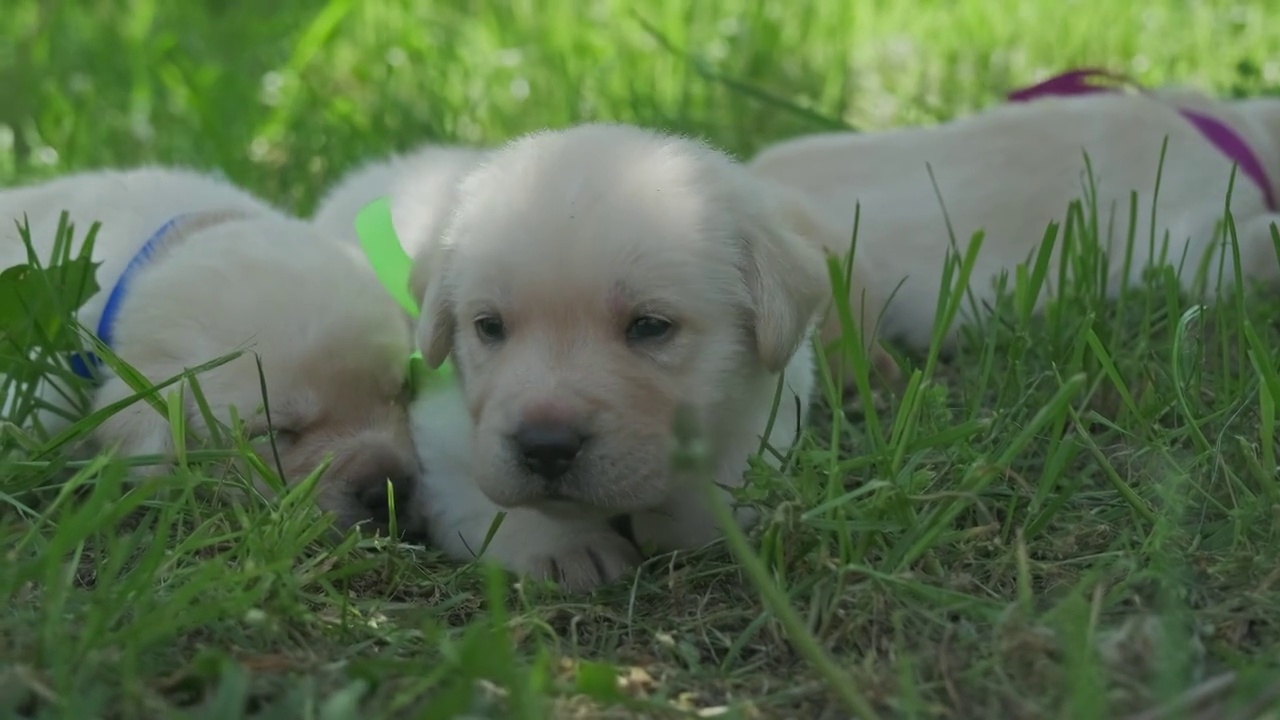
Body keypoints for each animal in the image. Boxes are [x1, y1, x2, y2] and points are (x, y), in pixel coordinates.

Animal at [396, 121, 890, 589]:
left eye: (650, 326)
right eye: (490, 326)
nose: (546, 446)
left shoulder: (768, 416)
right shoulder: (444, 440)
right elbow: (492, 503)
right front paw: (568, 549)